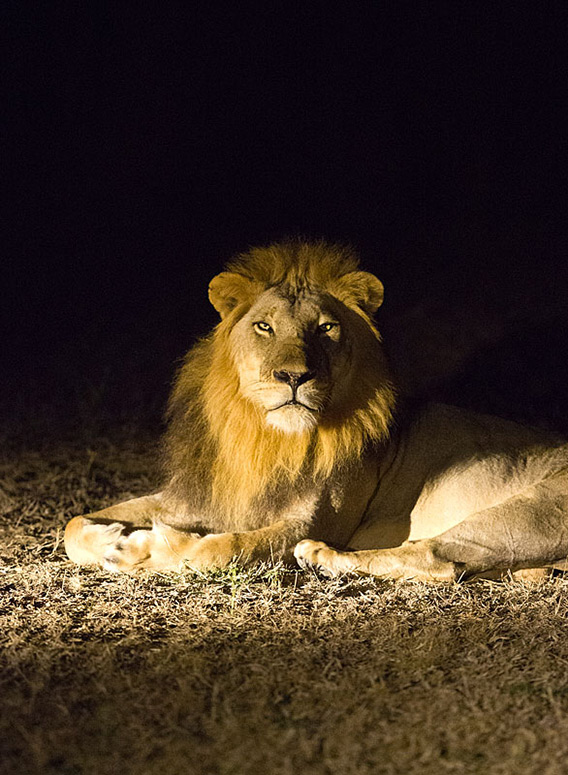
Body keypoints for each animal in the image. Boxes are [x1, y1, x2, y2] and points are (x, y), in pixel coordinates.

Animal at [64, 239, 568, 580]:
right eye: (264, 327)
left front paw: (140, 550)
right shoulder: (201, 495)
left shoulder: (313, 518)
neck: (264, 433)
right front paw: (108, 536)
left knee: (438, 558)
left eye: (326, 328)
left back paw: (322, 556)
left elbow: (221, 550)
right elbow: (70, 525)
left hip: (519, 515)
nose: (293, 377)